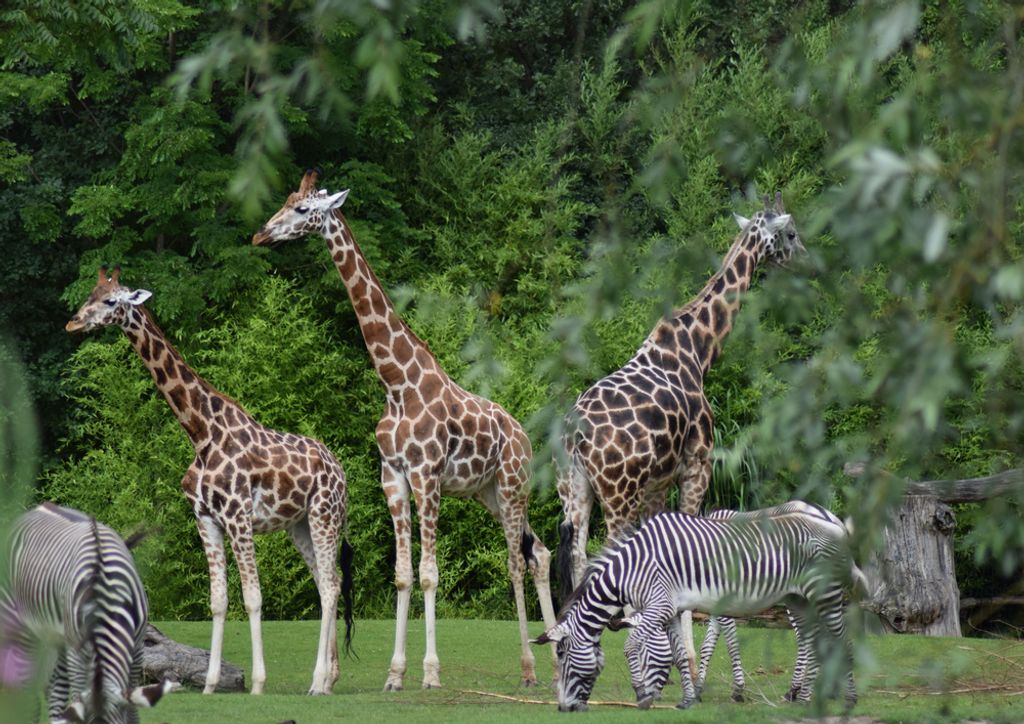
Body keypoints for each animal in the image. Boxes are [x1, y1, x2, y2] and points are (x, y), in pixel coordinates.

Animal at [65, 266, 355, 696]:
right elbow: (218, 601)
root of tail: (340, 469)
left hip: (324, 514)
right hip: (299, 524)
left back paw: (319, 681)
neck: (201, 434)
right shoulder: (205, 519)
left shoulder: (238, 516)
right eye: (90, 294)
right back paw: (329, 678)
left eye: (111, 300)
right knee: (327, 581)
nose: (73, 323)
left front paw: (257, 683)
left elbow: (252, 597)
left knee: (332, 586)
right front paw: (210, 683)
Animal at [252, 169, 559, 690]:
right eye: (286, 201)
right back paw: (556, 662)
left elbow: (431, 572)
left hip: (512, 484)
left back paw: (530, 668)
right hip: (487, 492)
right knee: (539, 551)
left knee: (518, 561)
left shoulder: (427, 475)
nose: (261, 234)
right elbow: (402, 574)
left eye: (302, 209)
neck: (396, 382)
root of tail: (522, 435)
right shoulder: (392, 477)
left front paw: (430, 673)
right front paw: (395, 674)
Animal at [555, 192, 804, 671]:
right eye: (791, 232)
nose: (805, 258)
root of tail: (575, 436)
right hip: (617, 490)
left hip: (575, 487)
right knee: (606, 552)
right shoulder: (696, 465)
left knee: (576, 551)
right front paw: (682, 656)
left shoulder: (658, 482)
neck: (697, 352)